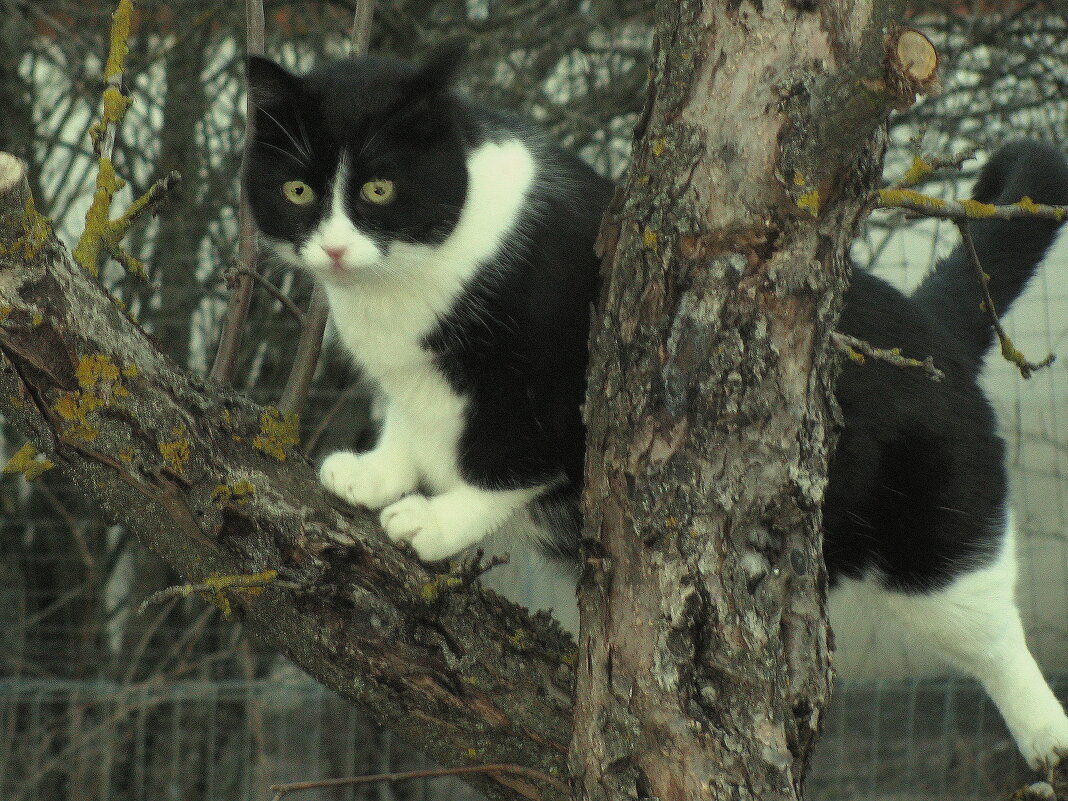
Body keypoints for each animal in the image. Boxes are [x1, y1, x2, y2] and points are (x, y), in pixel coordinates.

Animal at [242, 48, 1068, 773]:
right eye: (297, 192)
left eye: (379, 190)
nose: (335, 249)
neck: (403, 292)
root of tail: (937, 326)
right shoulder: (415, 381)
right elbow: (410, 426)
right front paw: (376, 474)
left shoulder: (558, 377)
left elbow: (509, 455)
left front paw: (438, 519)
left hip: (937, 532)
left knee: (990, 627)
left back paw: (1047, 735)